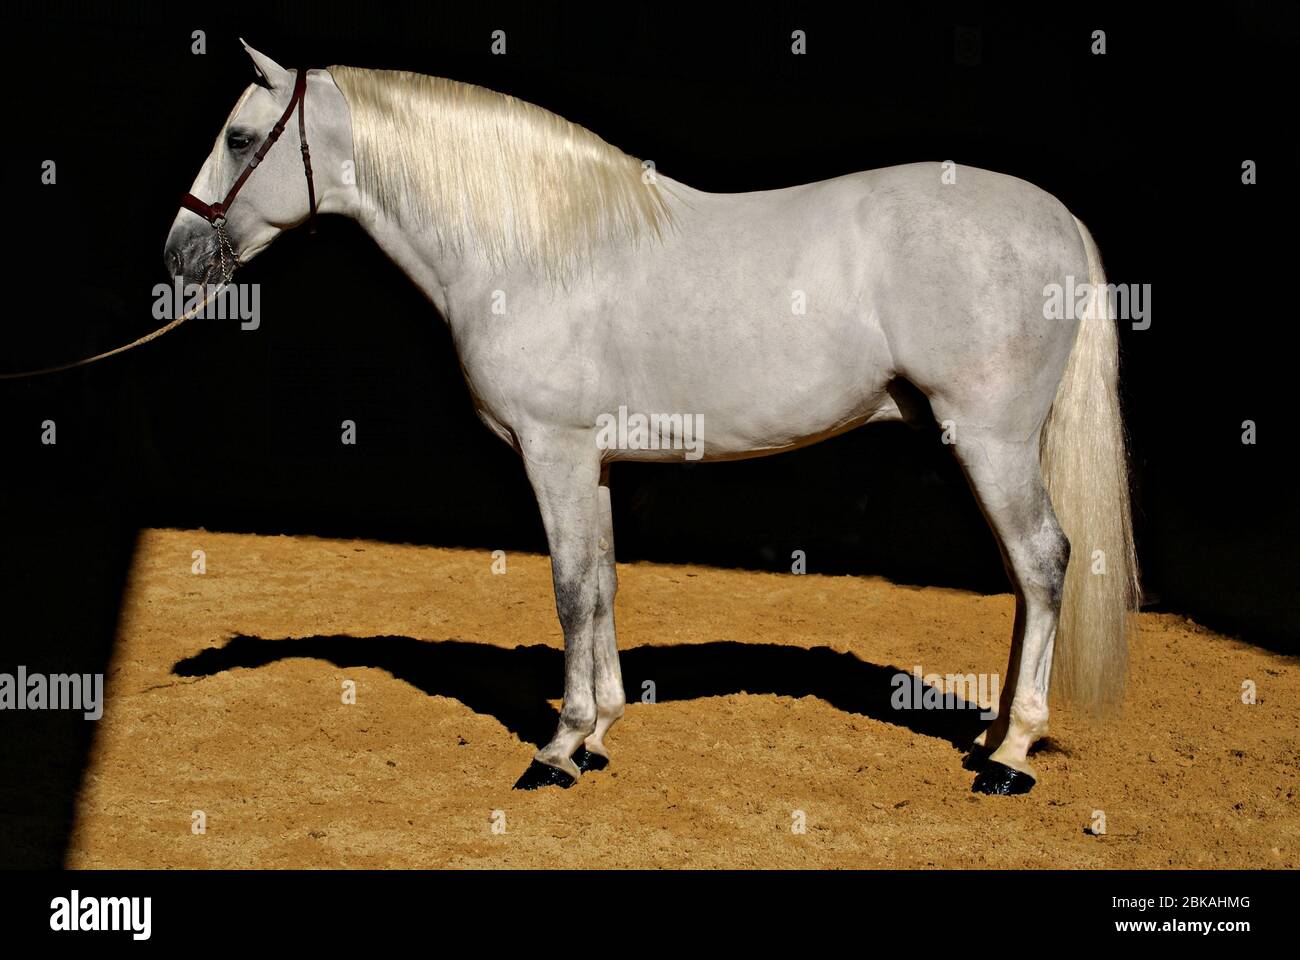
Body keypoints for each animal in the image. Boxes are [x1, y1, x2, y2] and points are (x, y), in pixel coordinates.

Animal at [165, 44, 1138, 790]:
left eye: (241, 138)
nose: (179, 256)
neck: (534, 246)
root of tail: (1055, 216)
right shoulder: (589, 463)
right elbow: (600, 584)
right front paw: (599, 732)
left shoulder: (553, 454)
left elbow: (567, 589)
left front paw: (557, 748)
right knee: (1023, 573)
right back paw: (993, 733)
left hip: (992, 440)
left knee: (1042, 561)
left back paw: (1011, 754)